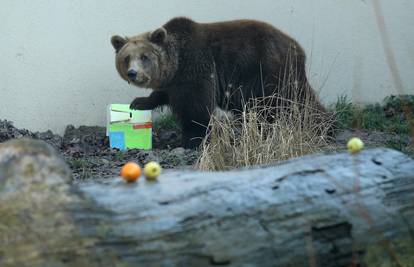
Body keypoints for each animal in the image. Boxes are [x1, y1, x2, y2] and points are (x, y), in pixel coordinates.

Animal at [111, 17, 330, 149]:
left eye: (144, 57)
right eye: (127, 58)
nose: (133, 73)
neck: (176, 63)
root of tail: (297, 47)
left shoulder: (196, 68)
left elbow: (196, 108)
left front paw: (190, 140)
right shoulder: (174, 81)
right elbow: (163, 94)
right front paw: (139, 102)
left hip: (270, 71)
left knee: (291, 102)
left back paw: (322, 126)